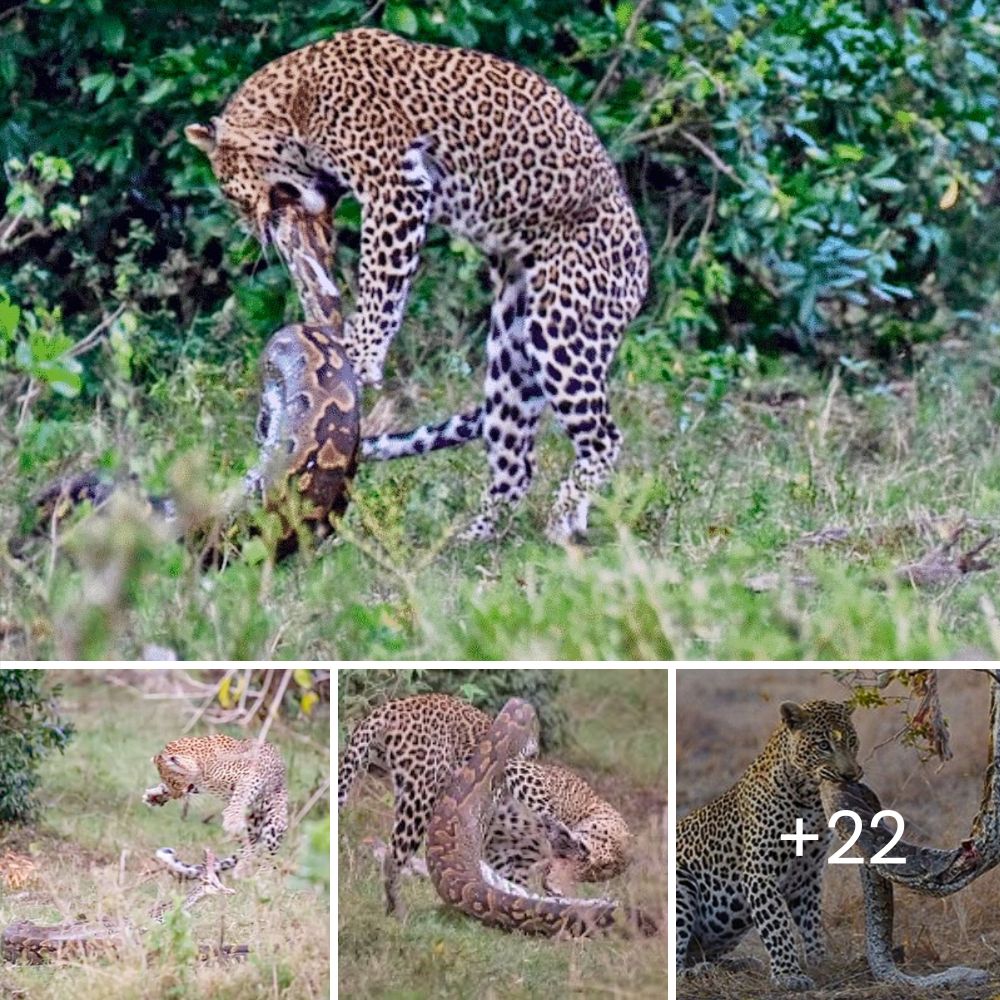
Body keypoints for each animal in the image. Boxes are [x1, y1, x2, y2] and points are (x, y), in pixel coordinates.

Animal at [141, 732, 290, 880]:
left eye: (174, 782)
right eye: (168, 782)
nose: (176, 796)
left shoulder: (252, 775)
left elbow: (241, 793)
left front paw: (232, 818)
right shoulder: (198, 785)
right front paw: (154, 796)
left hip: (275, 824)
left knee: (268, 854)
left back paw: (260, 878)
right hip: (250, 828)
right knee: (248, 847)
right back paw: (241, 869)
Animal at [186, 31, 648, 544]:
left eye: (229, 191)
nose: (254, 230)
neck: (294, 108)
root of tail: (641, 268)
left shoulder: (397, 186)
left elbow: (380, 279)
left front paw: (360, 355)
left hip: (563, 330)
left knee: (604, 437)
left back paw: (562, 513)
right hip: (511, 353)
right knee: (516, 461)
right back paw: (474, 539)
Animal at [676, 704, 864, 992]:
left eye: (852, 741)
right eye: (824, 745)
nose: (850, 775)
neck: (809, 798)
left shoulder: (808, 875)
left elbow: (812, 922)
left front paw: (820, 962)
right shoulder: (761, 873)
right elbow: (777, 926)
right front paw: (789, 974)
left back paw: (740, 964)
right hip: (680, 883)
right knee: (676, 965)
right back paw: (701, 972)